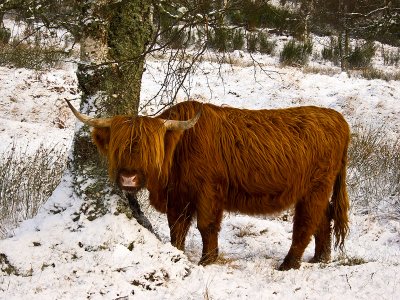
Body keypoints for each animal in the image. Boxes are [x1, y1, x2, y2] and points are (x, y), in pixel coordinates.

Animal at [67, 99, 348, 270]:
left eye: (150, 149)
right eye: (118, 147)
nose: (128, 179)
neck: (180, 148)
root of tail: (338, 119)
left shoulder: (208, 191)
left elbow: (206, 226)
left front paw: (208, 260)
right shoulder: (178, 196)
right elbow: (177, 227)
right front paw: (177, 254)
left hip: (315, 188)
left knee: (306, 223)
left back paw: (288, 264)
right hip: (315, 191)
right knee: (323, 220)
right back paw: (320, 259)